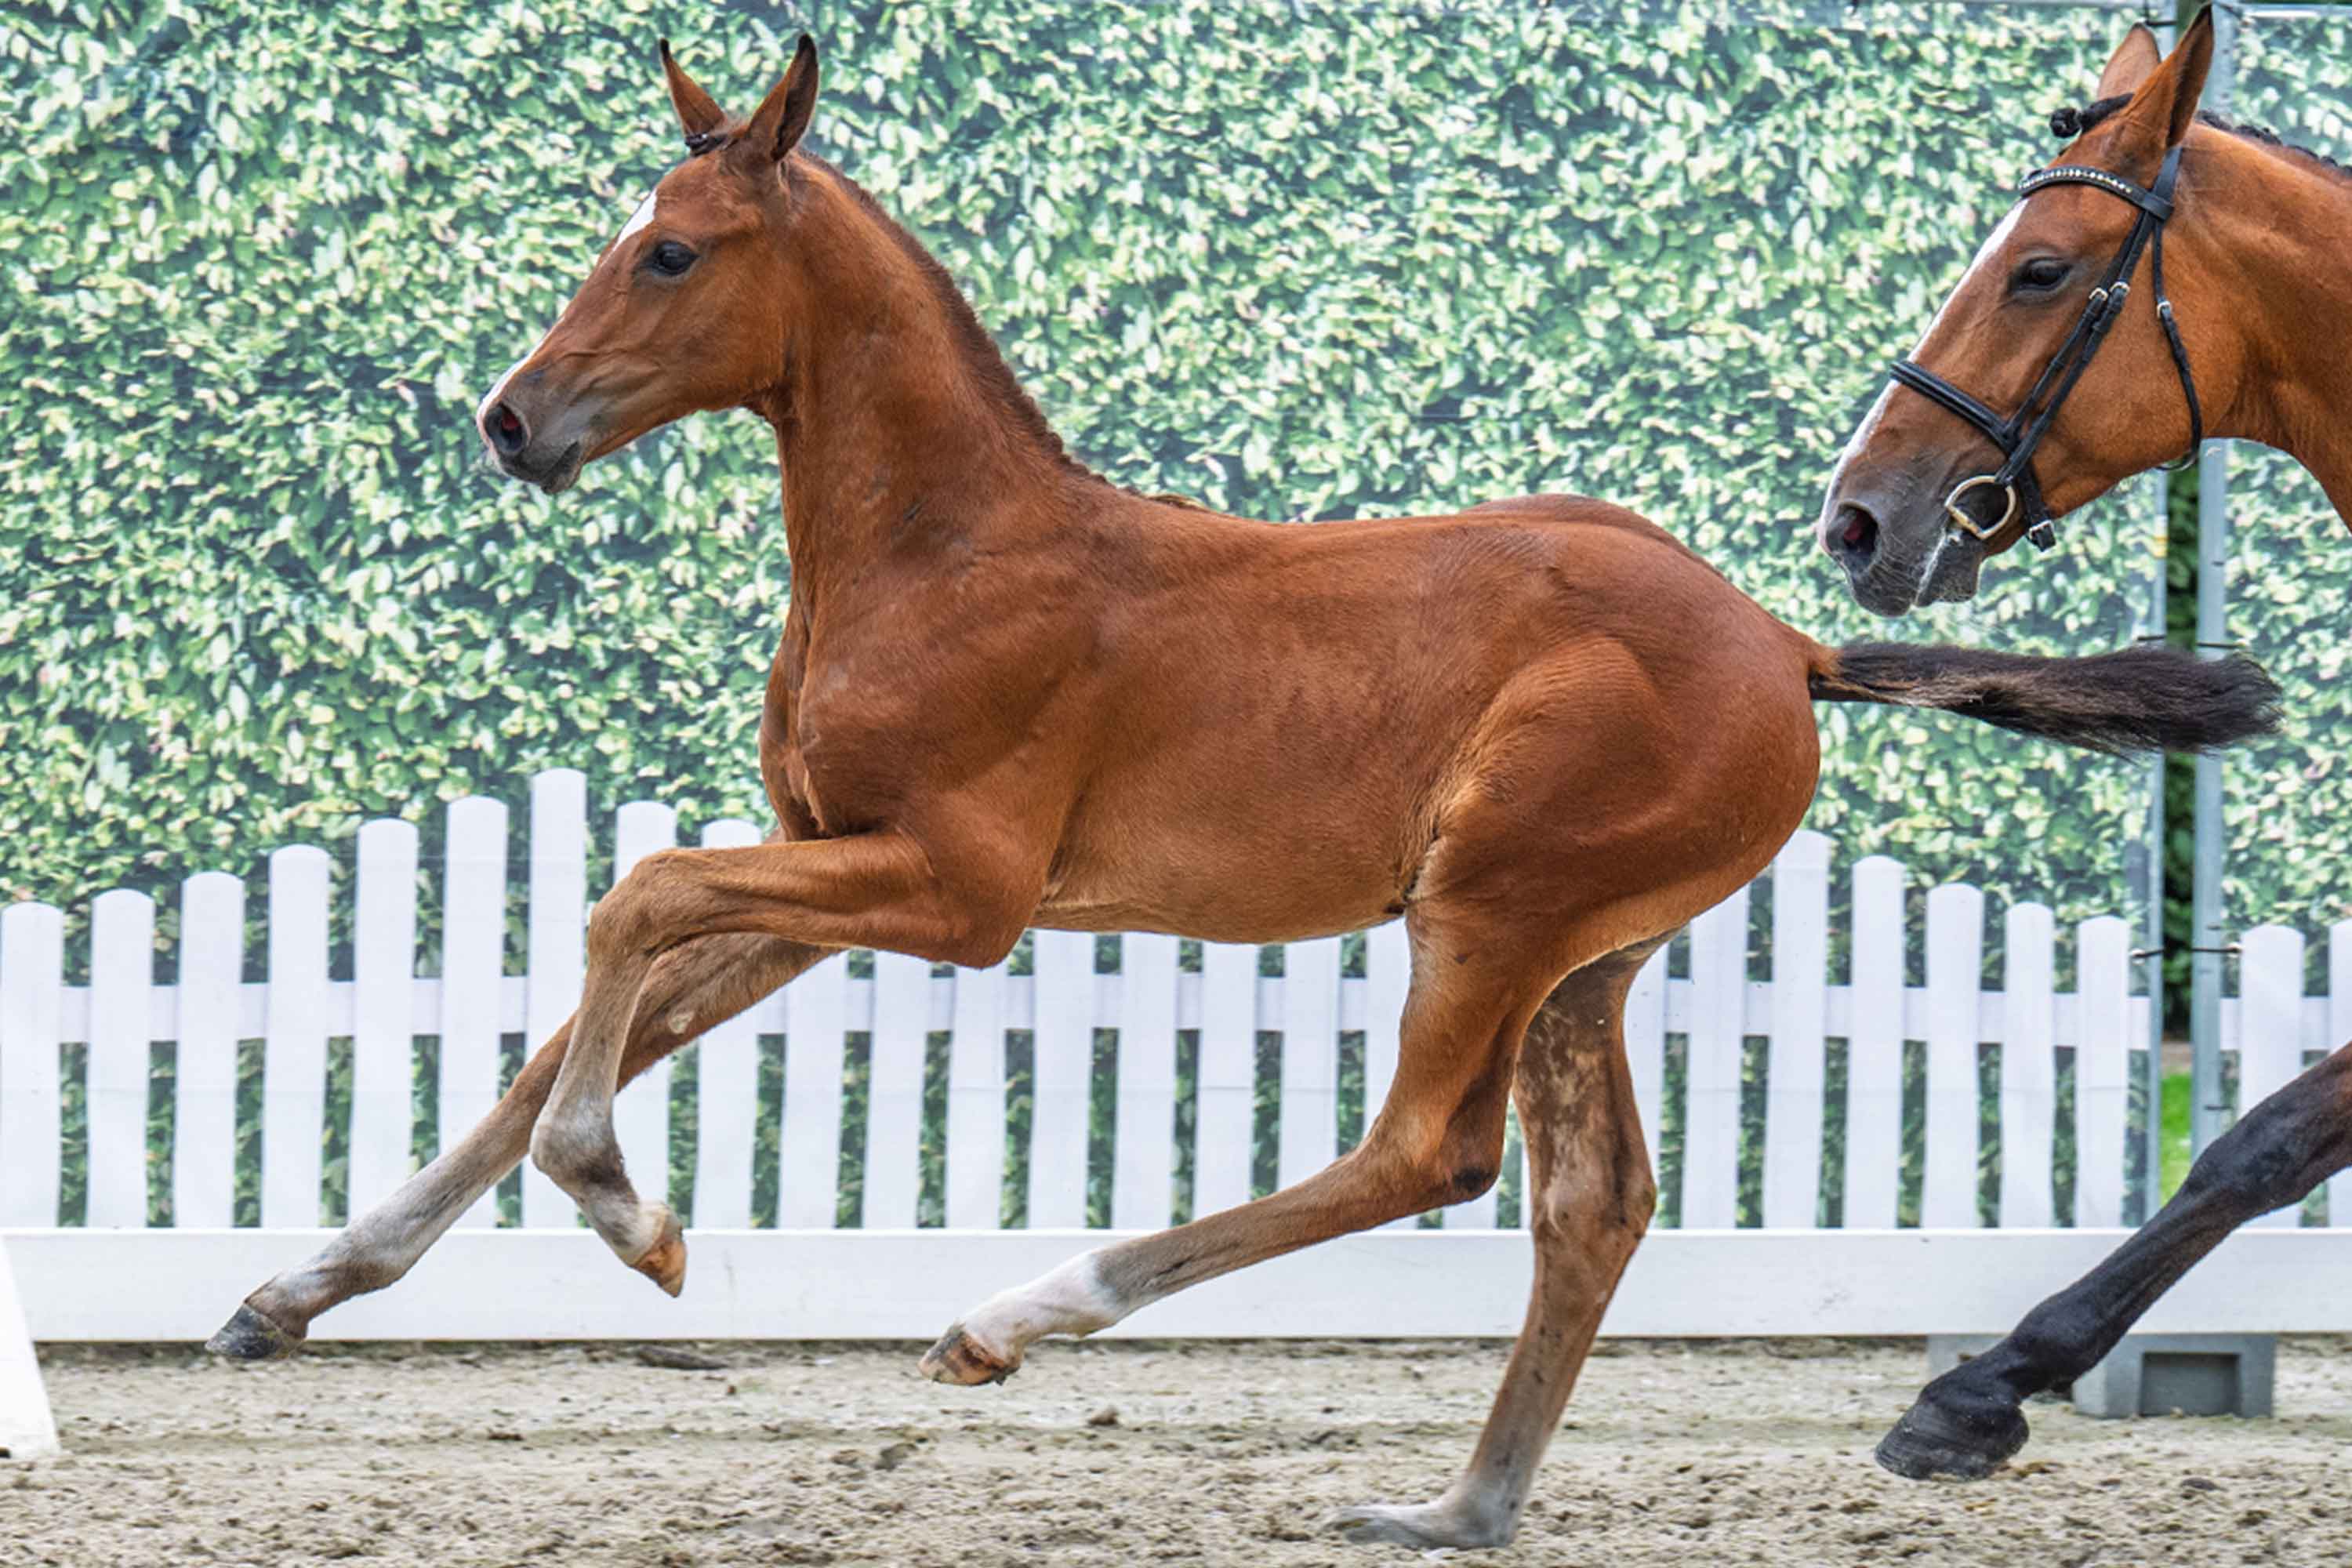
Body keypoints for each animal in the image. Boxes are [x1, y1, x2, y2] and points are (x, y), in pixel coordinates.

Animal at [207, 35, 2277, 1548]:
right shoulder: (821, 862)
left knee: (1430, 1154)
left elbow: (622, 906)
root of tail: (1783, 642)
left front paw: (632, 1220)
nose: (511, 421)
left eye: (671, 251)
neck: (944, 548)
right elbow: (573, 1019)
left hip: (1490, 904)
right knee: (1591, 1197)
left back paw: (1018, 1315)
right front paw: (294, 1292)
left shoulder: (948, 889)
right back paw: (1460, 1507)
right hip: (1586, 952)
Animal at [1817, 8, 2352, 1482]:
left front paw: (1985, 1382)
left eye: (2042, 271)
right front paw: (1987, 1382)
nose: (1854, 519)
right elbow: (2261, 1144)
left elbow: (2271, 1137)